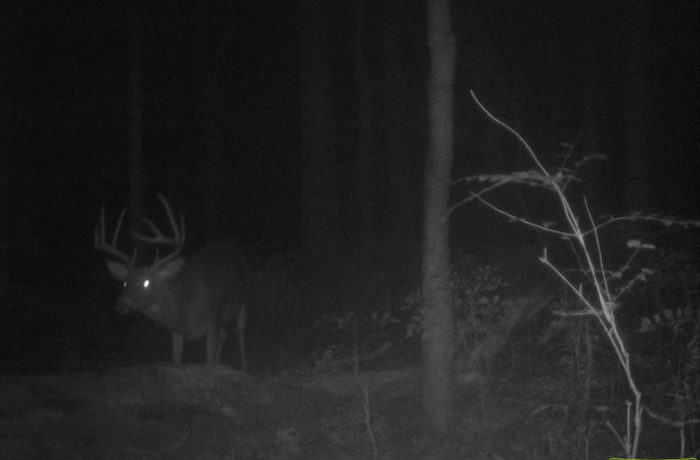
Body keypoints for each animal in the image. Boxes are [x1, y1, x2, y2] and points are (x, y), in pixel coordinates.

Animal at [95, 194, 249, 369]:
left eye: (147, 282)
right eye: (125, 283)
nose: (121, 304)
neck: (183, 309)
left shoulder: (213, 320)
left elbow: (208, 360)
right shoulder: (176, 332)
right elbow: (176, 360)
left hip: (243, 298)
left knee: (239, 333)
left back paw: (244, 366)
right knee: (225, 335)